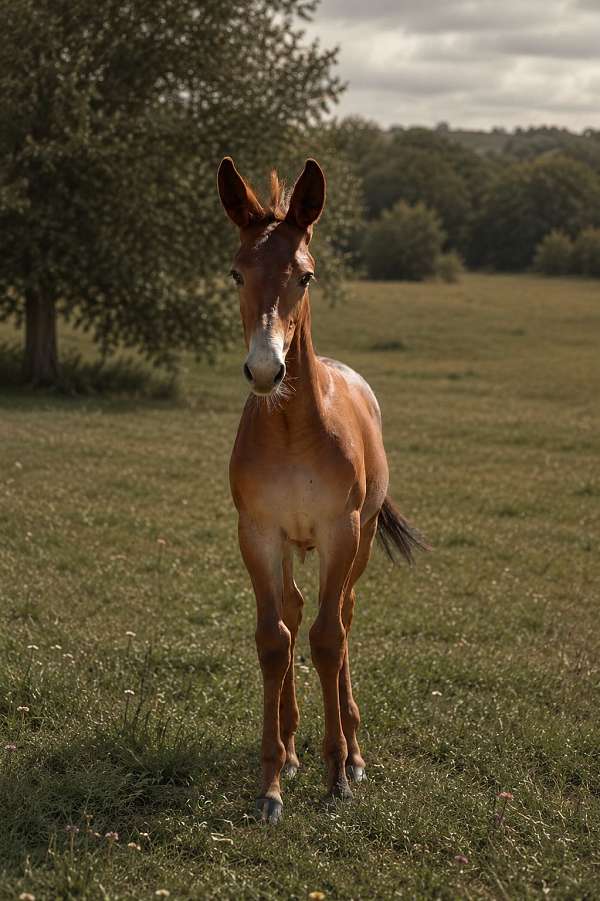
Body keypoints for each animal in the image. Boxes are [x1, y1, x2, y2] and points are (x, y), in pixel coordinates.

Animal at [217, 156, 427, 823]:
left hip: (360, 538)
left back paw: (353, 752)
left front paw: (338, 773)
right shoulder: (257, 533)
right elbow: (273, 639)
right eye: (237, 271)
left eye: (305, 276)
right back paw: (288, 749)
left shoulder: (340, 529)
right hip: (290, 544)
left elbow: (329, 641)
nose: (265, 369)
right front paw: (271, 783)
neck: (292, 429)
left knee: (344, 616)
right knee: (292, 611)